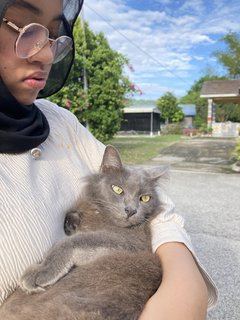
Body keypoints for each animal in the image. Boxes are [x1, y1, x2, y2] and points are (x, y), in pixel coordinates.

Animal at [0, 146, 165, 320]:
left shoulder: (132, 243)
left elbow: (74, 241)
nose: (131, 210)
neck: (101, 214)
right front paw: (71, 223)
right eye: (118, 189)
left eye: (145, 198)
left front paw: (41, 271)